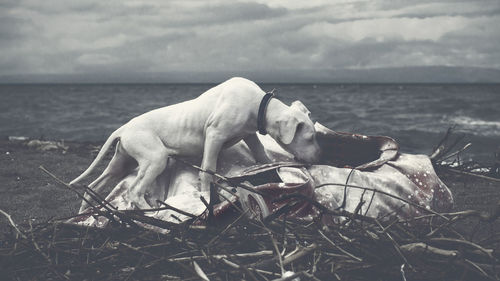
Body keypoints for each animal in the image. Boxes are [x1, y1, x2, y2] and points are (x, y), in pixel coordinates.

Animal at [70, 76, 320, 210]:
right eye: (311, 137)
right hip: (156, 159)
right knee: (133, 191)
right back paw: (149, 211)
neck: (258, 105)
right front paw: (207, 198)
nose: (318, 158)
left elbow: (261, 156)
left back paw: (85, 211)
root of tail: (123, 128)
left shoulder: (250, 136)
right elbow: (208, 170)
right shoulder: (214, 136)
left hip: (121, 163)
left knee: (94, 186)